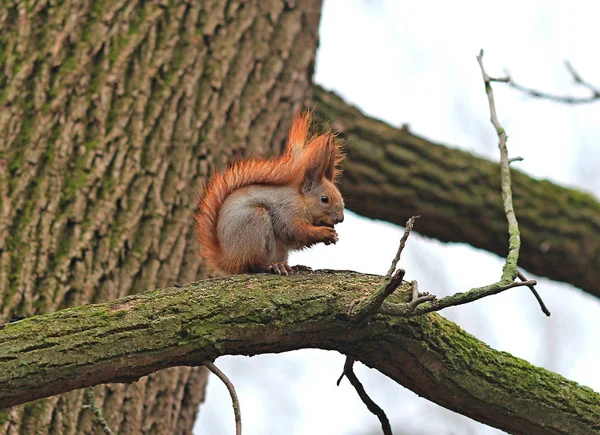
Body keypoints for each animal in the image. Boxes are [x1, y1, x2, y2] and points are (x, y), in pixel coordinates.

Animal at [196, 110, 344, 276]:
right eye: (324, 199)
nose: (340, 219)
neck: (301, 201)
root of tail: (227, 259)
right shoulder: (287, 211)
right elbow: (294, 231)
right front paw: (325, 233)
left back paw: (294, 266)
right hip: (255, 224)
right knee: (253, 265)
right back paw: (272, 266)